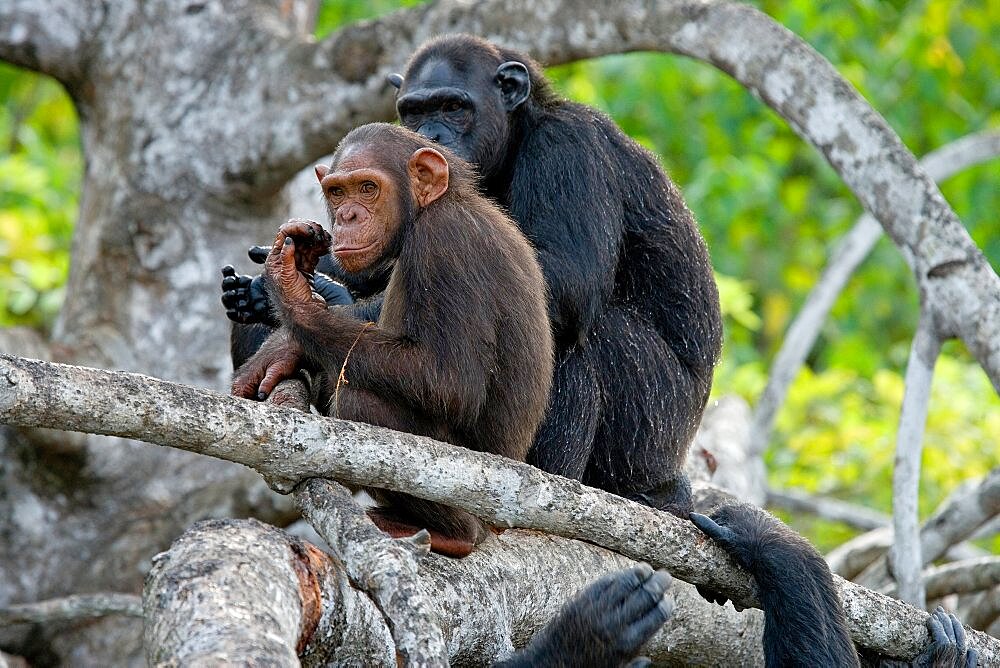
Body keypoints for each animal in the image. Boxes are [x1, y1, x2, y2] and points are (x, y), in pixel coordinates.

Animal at [230, 121, 552, 560]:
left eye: (368, 188)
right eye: (337, 192)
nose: (348, 215)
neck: (425, 213)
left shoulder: (445, 244)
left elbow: (448, 381)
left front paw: (289, 295)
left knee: (360, 398)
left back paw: (451, 533)